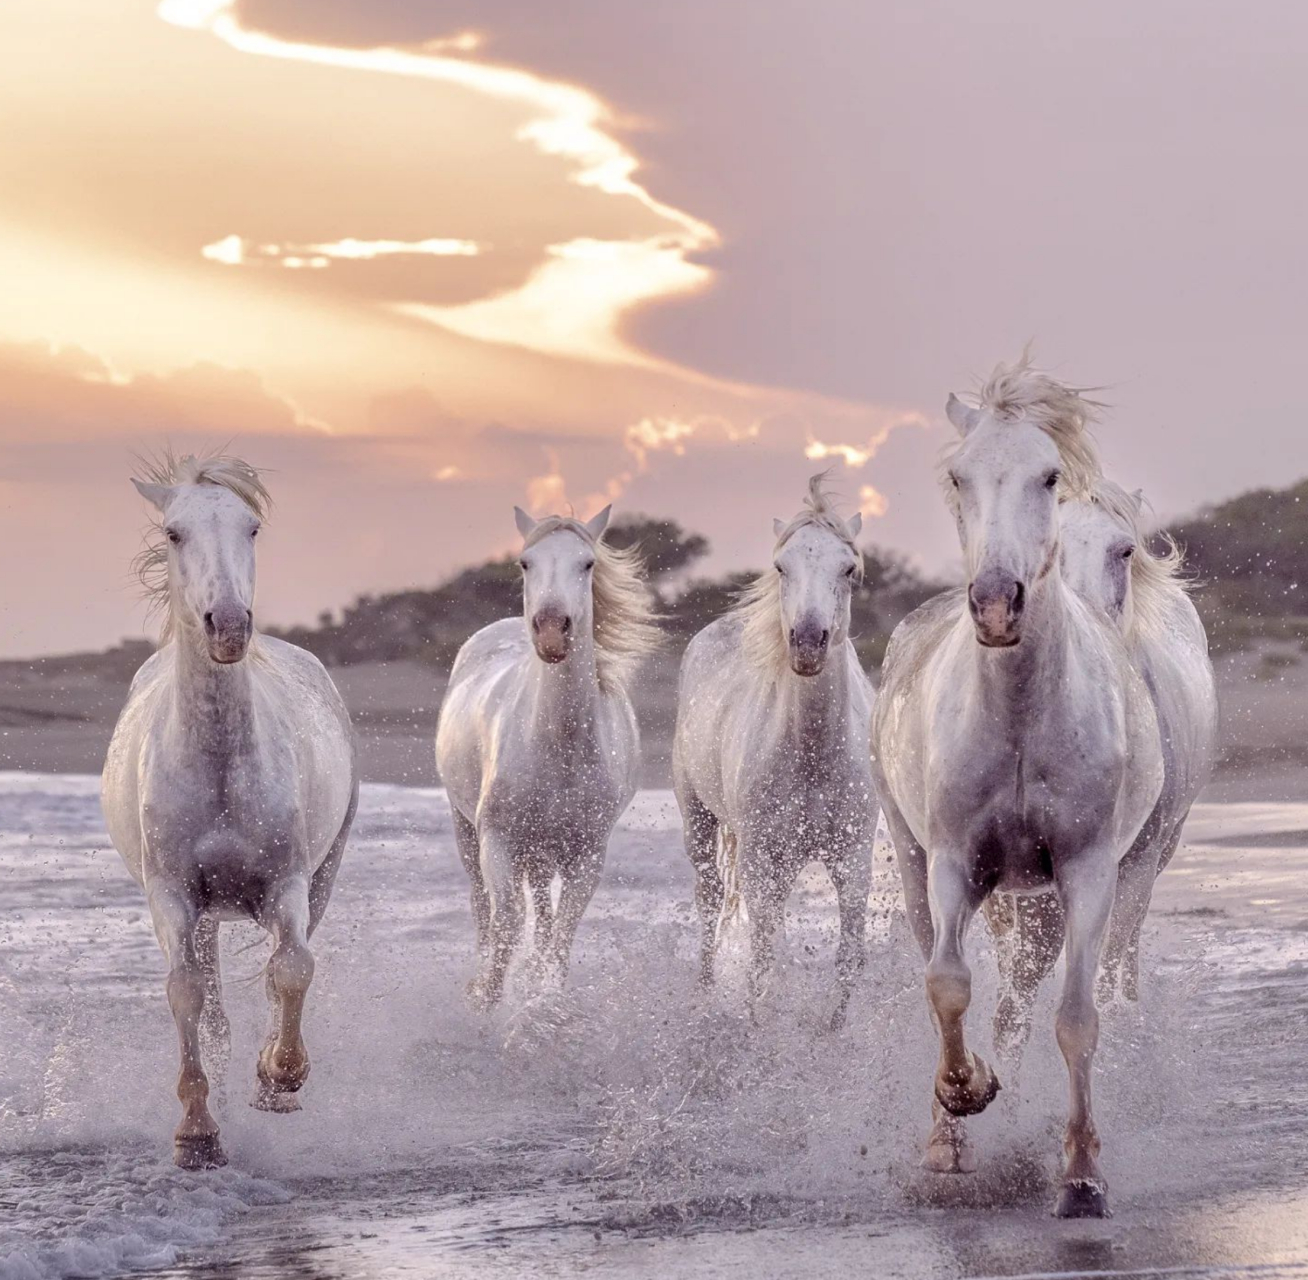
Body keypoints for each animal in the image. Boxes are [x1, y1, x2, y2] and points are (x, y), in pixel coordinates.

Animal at [100, 449, 358, 1171]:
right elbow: (185, 992)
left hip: (322, 875)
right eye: (173, 533)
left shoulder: (289, 882)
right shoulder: (172, 894)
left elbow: (292, 970)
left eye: (252, 529)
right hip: (203, 911)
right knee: (210, 996)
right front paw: (197, 1134)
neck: (217, 760)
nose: (229, 626)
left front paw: (280, 1080)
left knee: (281, 967)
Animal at [436, 504, 659, 1004]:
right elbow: (506, 920)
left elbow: (561, 931)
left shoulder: (587, 853)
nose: (553, 631)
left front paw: (545, 999)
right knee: (482, 906)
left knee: (541, 910)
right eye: (525, 563)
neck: (560, 745)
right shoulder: (498, 840)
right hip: (468, 830)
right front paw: (486, 998)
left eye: (588, 563)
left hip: (542, 848)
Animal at [674, 475, 878, 1025]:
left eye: (848, 569)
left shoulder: (853, 855)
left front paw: (833, 1029)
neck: (812, 751)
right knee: (710, 899)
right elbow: (761, 954)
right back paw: (702, 993)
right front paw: (759, 1024)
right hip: (699, 818)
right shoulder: (760, 853)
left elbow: (849, 955)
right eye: (782, 566)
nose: (807, 642)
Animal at [868, 360, 1166, 1223]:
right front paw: (964, 1098)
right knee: (954, 973)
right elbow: (946, 984)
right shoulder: (952, 862)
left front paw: (1082, 1178)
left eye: (1050, 475)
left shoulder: (1088, 870)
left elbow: (1075, 1019)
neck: (1022, 716)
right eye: (958, 476)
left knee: (1024, 998)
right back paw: (951, 1134)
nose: (997, 605)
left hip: (1046, 896)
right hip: (915, 864)